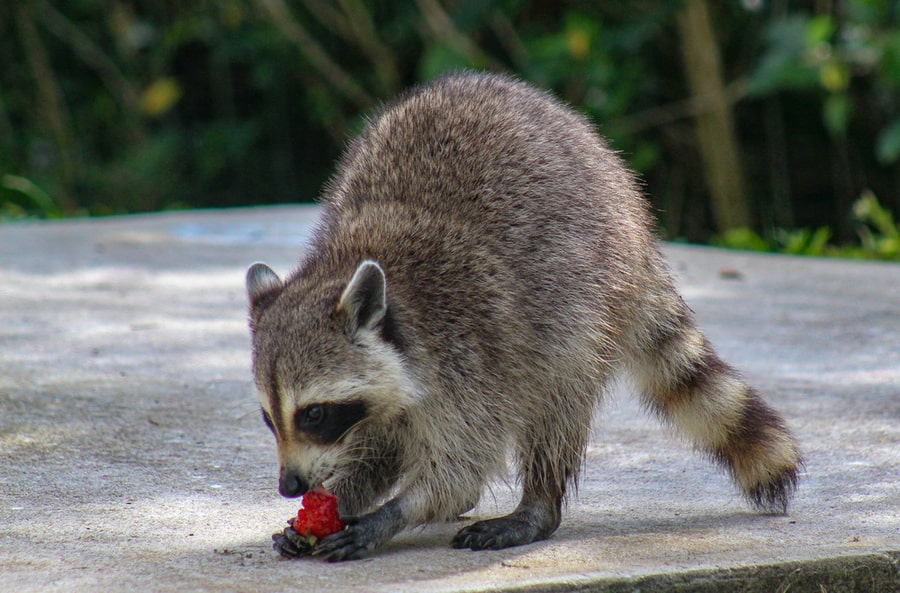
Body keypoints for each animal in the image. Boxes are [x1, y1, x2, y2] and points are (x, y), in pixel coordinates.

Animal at [246, 73, 800, 560]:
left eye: (313, 413)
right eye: (268, 417)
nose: (290, 484)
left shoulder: (469, 351)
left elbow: (461, 465)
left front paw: (388, 515)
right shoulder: (384, 396)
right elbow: (377, 450)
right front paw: (340, 499)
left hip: (587, 301)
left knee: (557, 400)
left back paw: (538, 503)